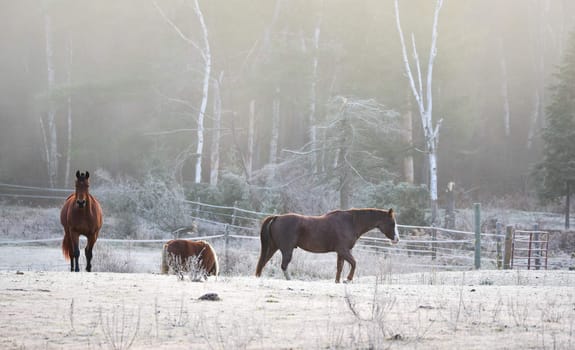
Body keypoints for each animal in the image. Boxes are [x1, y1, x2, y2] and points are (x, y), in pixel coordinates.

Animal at [256, 209, 400, 284]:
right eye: (392, 223)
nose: (396, 239)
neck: (350, 222)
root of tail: (277, 217)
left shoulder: (340, 252)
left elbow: (339, 268)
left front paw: (338, 282)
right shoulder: (343, 250)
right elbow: (354, 263)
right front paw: (348, 280)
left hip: (273, 247)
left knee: (263, 262)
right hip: (287, 249)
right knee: (283, 265)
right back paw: (290, 280)